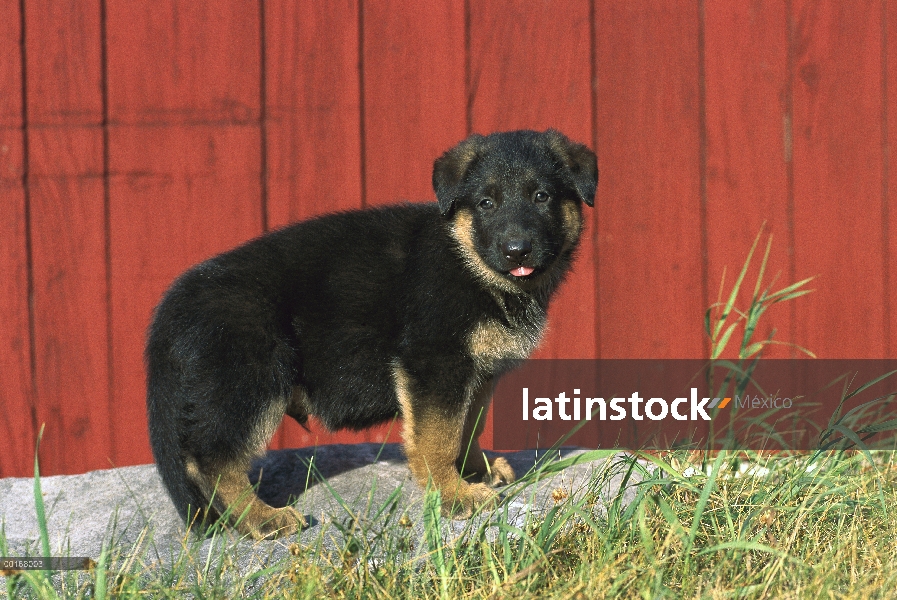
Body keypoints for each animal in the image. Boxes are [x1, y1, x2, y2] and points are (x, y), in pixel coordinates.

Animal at [145, 127, 596, 540]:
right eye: (486, 203)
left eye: (542, 197)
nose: (517, 250)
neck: (467, 260)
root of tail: (174, 303)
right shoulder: (434, 363)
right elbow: (439, 436)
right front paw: (452, 494)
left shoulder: (478, 373)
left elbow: (468, 425)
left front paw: (476, 470)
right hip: (252, 380)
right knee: (212, 460)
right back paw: (260, 518)